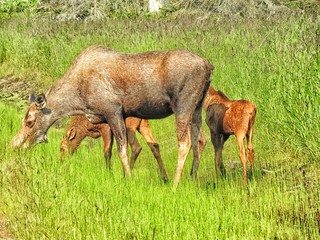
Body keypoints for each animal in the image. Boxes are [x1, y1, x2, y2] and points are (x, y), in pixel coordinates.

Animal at [12, 44, 214, 188]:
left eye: (29, 121)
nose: (15, 145)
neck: (78, 101)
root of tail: (208, 65)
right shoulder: (115, 118)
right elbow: (117, 150)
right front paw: (123, 176)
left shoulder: (113, 111)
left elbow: (121, 149)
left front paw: (128, 180)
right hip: (197, 107)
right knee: (199, 139)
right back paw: (192, 177)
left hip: (183, 105)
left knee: (185, 142)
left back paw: (175, 184)